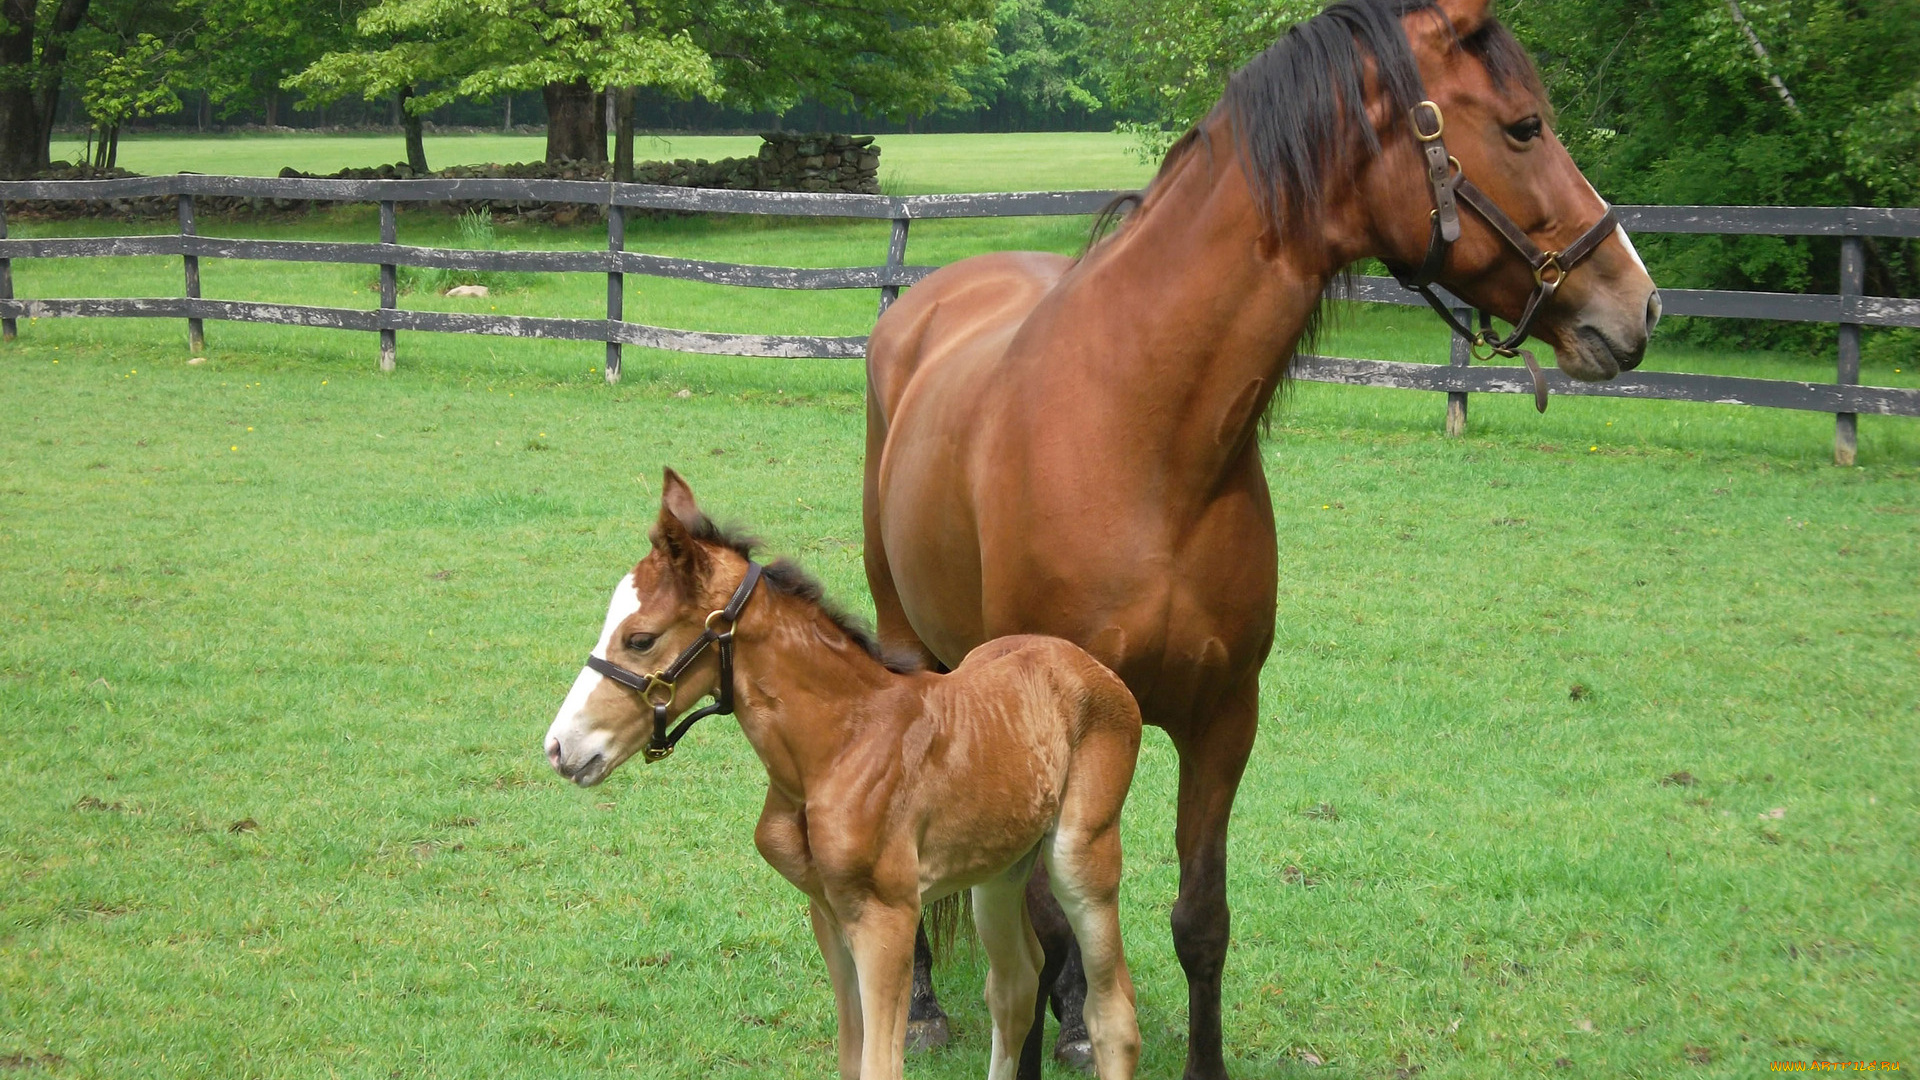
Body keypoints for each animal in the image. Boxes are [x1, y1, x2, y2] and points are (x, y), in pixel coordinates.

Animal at [541, 468, 1136, 1076]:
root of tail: (1092, 667)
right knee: (1015, 984)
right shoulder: (827, 912)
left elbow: (879, 1063)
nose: (560, 747)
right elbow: (852, 1056)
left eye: (640, 638)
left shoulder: (887, 916)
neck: (840, 746)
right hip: (1000, 868)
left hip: (1081, 855)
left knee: (1112, 1010)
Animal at [871, 2, 1666, 1076]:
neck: (1142, 433)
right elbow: (1033, 930)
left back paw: (1077, 1020)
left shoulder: (1223, 720)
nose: (1640, 304)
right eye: (1523, 127)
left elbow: (1197, 922)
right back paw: (921, 1006)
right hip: (907, 643)